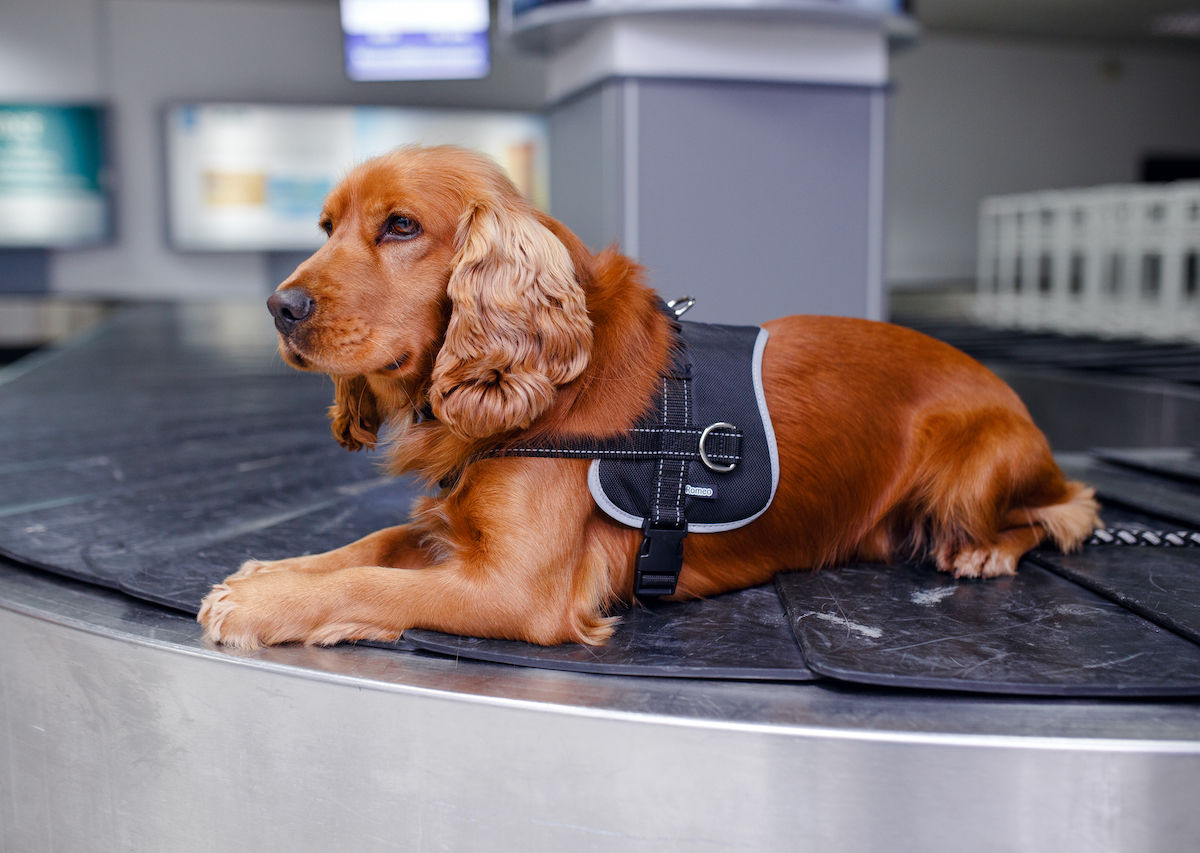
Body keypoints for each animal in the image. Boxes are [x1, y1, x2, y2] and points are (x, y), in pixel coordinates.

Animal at [194, 145, 1099, 647]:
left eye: (402, 227)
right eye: (326, 227)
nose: (279, 306)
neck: (551, 385)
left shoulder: (517, 589)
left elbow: (376, 584)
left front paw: (265, 601)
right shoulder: (457, 528)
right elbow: (370, 545)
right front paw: (273, 568)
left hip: (971, 468)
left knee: (1068, 508)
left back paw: (985, 550)